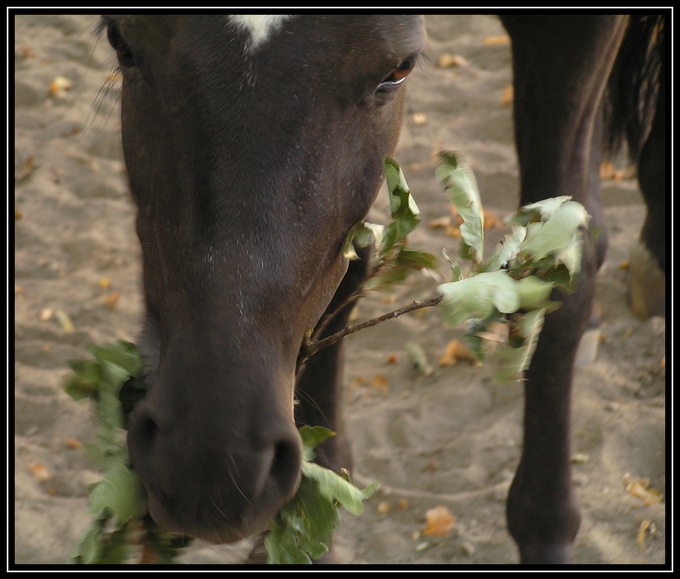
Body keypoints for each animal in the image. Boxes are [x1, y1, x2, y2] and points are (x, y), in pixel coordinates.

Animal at [98, 13, 668, 564]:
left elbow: (563, 269)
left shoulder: (573, 36)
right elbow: (354, 262)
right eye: (121, 42)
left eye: (398, 69)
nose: (210, 463)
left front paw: (546, 528)